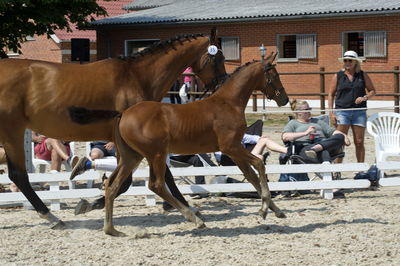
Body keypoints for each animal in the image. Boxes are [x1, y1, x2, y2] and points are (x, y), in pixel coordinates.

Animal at [0, 29, 227, 229]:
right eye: (218, 58)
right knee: (18, 175)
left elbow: (154, 178)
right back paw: (52, 217)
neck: (136, 76)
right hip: (12, 132)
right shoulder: (138, 144)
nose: (221, 85)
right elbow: (137, 181)